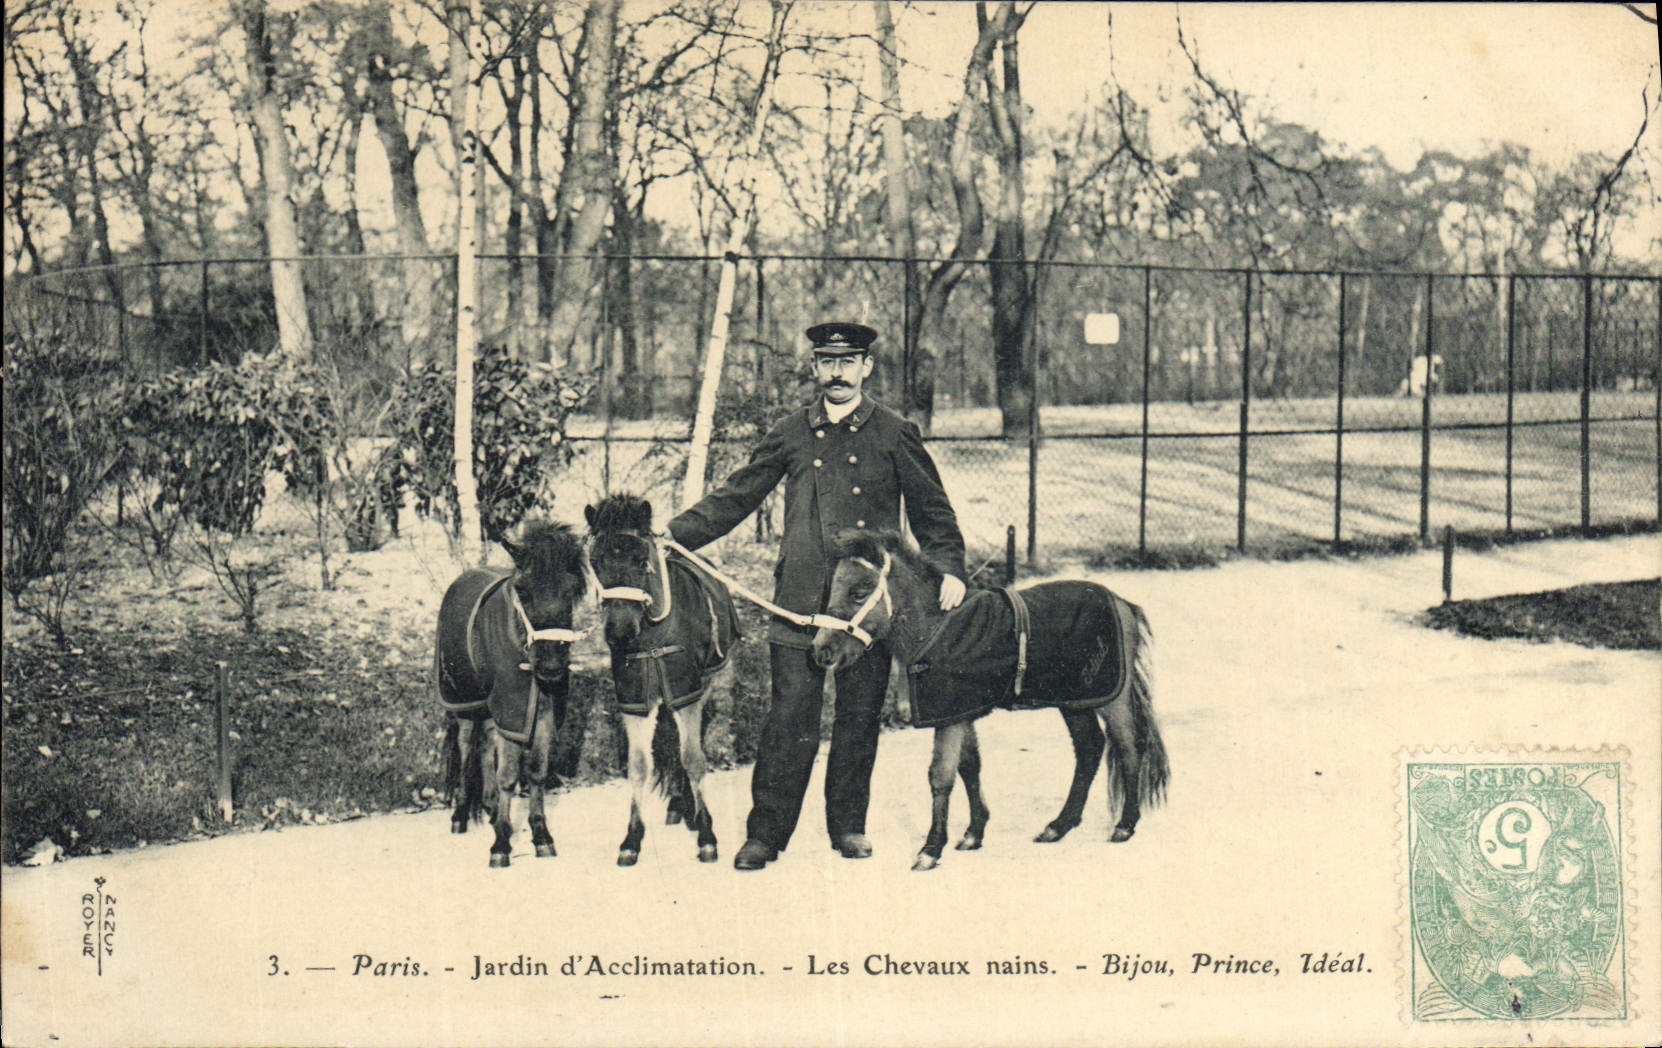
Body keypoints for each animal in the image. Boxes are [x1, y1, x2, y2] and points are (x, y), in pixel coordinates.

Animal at [435, 521, 588, 868]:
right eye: (524, 591)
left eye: (571, 590)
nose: (551, 667)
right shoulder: (513, 708)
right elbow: (507, 775)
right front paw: (501, 845)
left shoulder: (540, 713)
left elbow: (536, 773)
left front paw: (541, 836)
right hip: (463, 703)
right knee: (467, 747)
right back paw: (461, 814)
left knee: (486, 744)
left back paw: (491, 808)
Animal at [584, 495, 740, 867]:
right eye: (596, 562)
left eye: (641, 560)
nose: (619, 632)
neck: (653, 634)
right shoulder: (636, 703)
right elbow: (639, 767)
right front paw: (631, 839)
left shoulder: (686, 694)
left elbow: (693, 759)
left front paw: (707, 835)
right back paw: (678, 807)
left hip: (706, 688)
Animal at [811, 529, 1169, 871]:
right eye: (831, 590)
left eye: (859, 593)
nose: (821, 651)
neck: (938, 628)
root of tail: (1122, 604)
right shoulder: (958, 712)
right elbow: (969, 766)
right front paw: (973, 833)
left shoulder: (952, 718)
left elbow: (941, 776)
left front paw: (930, 850)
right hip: (1074, 701)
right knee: (1090, 748)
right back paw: (1058, 826)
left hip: (1111, 699)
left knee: (1128, 746)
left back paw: (1124, 825)